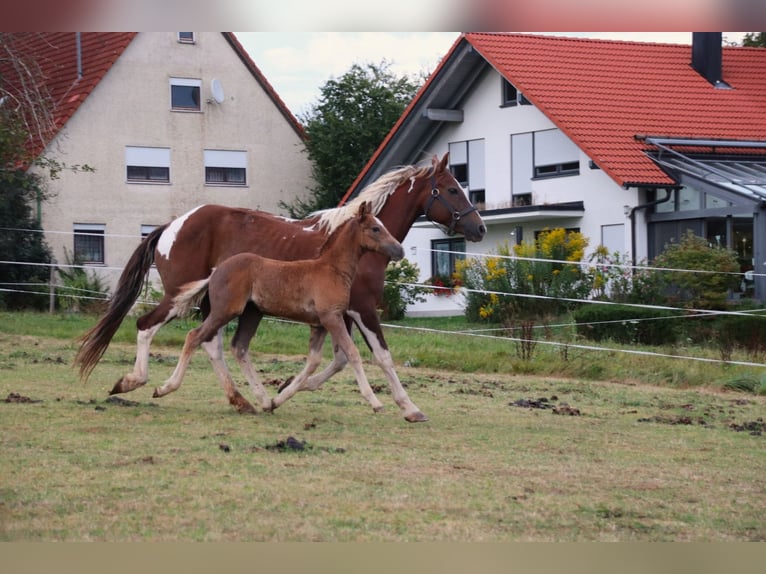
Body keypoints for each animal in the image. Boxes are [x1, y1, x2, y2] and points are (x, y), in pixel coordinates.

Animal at [158, 202, 408, 414]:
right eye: (375, 228)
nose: (399, 251)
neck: (330, 269)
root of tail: (216, 271)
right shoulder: (332, 318)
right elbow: (353, 354)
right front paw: (376, 402)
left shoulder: (319, 324)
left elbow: (314, 361)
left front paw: (281, 396)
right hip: (225, 311)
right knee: (194, 336)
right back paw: (164, 387)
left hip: (250, 313)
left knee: (237, 346)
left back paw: (260, 400)